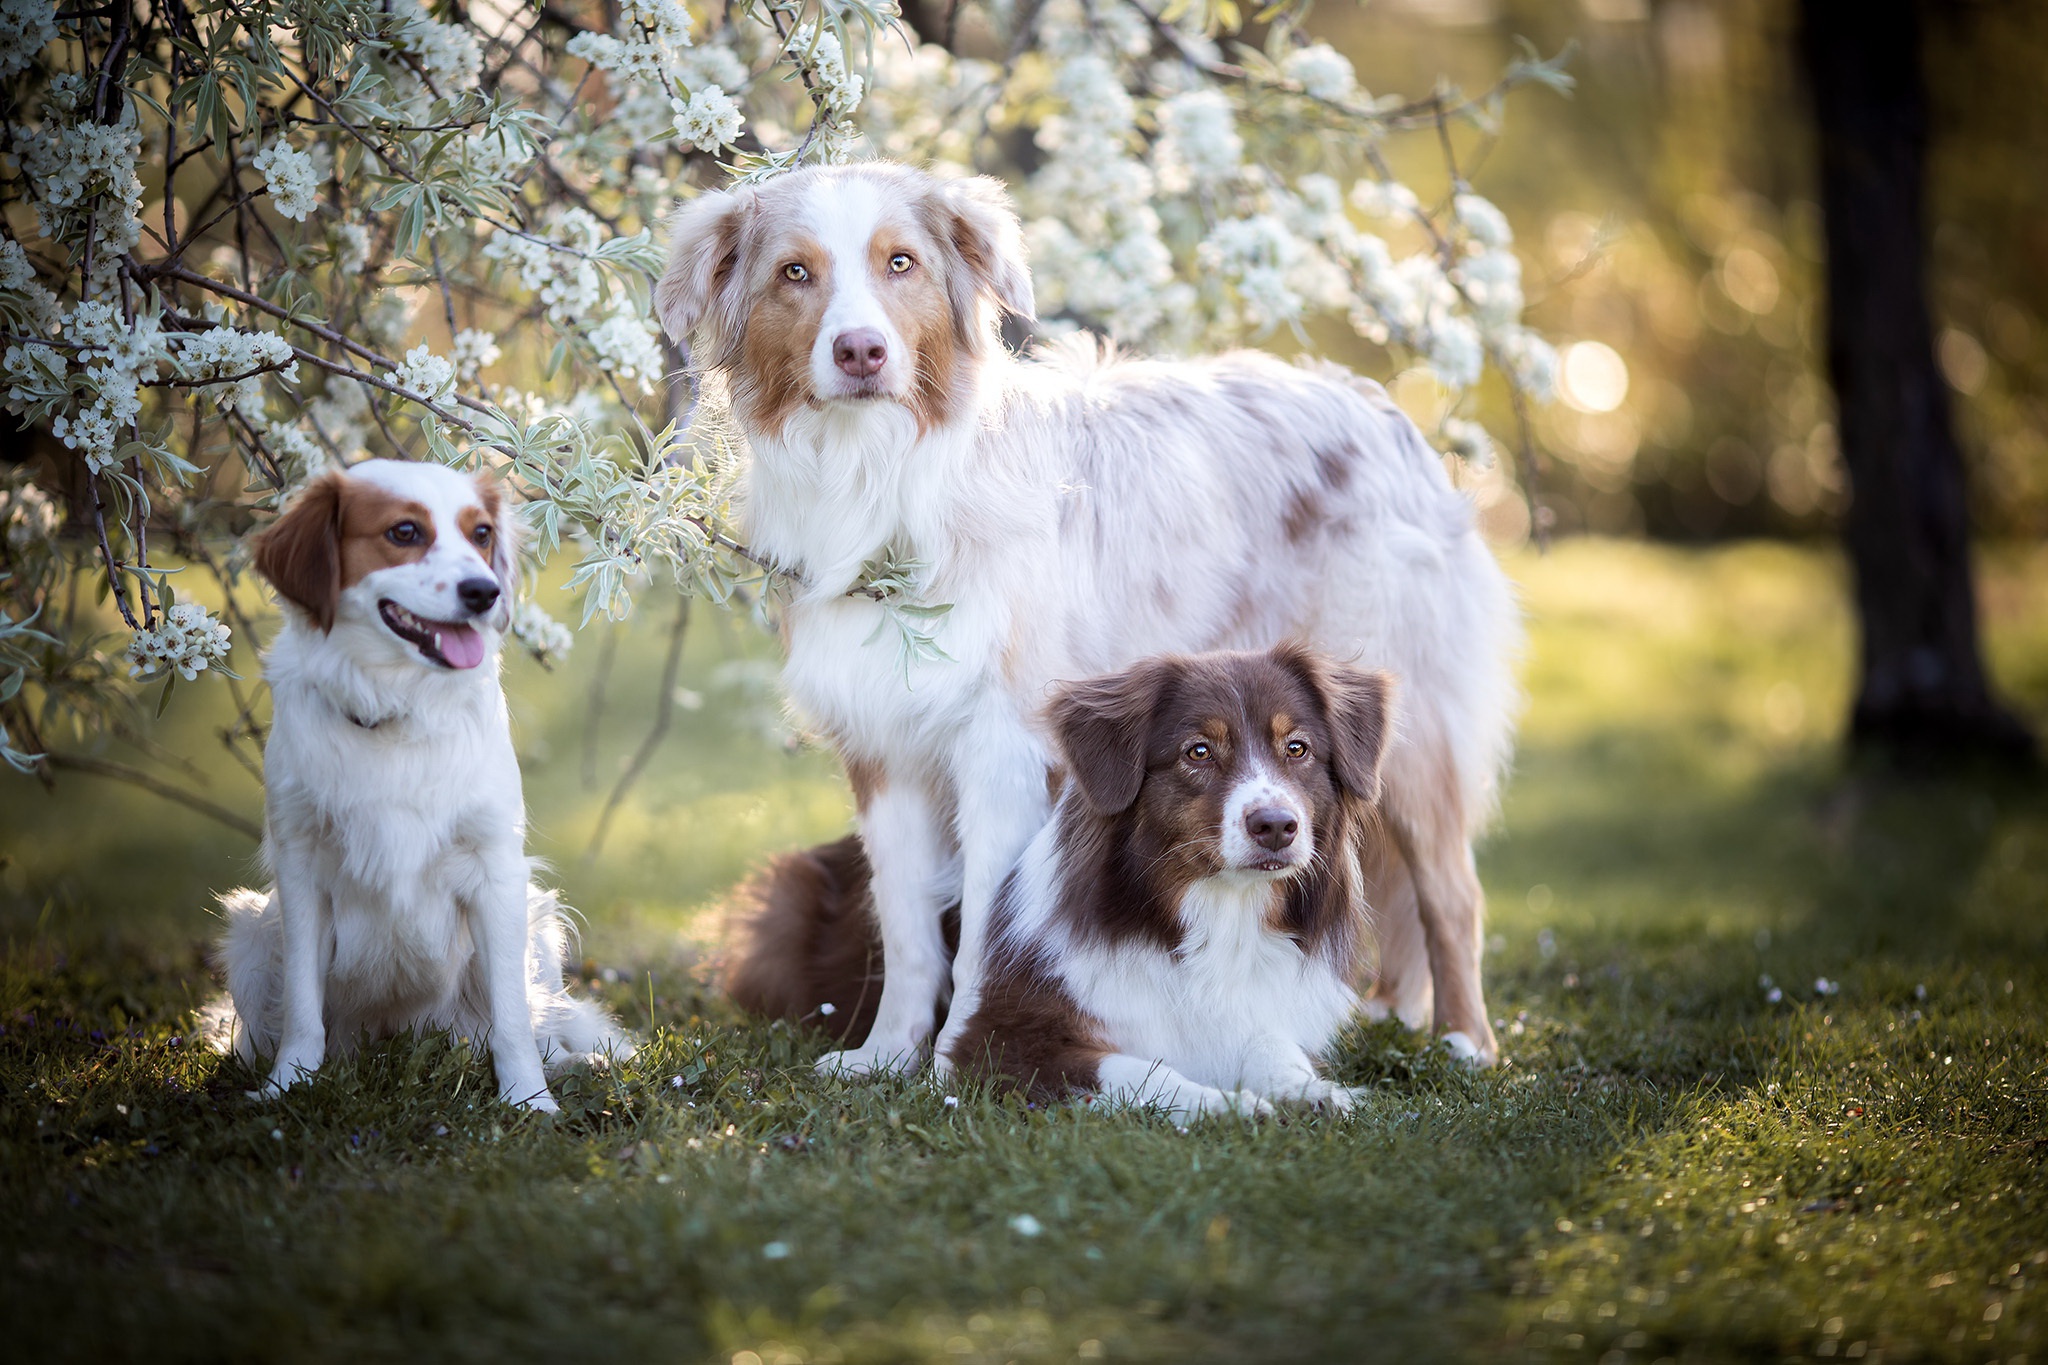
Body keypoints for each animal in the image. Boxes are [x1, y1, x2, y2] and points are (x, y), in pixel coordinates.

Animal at [212, 458, 622, 1113]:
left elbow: (512, 1019)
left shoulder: (496, 870)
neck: (398, 707)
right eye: (404, 532)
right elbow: (301, 1005)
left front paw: (529, 1102)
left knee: (532, 1024)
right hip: (251, 930)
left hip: (537, 924)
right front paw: (287, 1087)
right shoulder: (300, 870)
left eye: (481, 534)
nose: (485, 591)